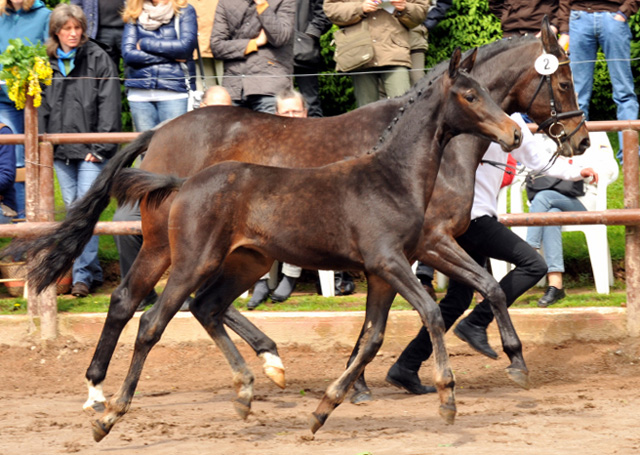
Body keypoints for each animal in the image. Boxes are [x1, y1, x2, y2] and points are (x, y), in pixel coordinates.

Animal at [89, 49, 520, 442]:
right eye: (470, 95)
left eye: (488, 90)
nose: (513, 134)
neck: (393, 178)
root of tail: (183, 183)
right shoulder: (389, 261)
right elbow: (430, 313)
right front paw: (447, 397)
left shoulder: (383, 273)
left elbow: (372, 338)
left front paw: (323, 410)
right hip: (192, 260)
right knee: (150, 320)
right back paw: (107, 413)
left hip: (245, 263)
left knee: (206, 307)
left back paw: (246, 388)